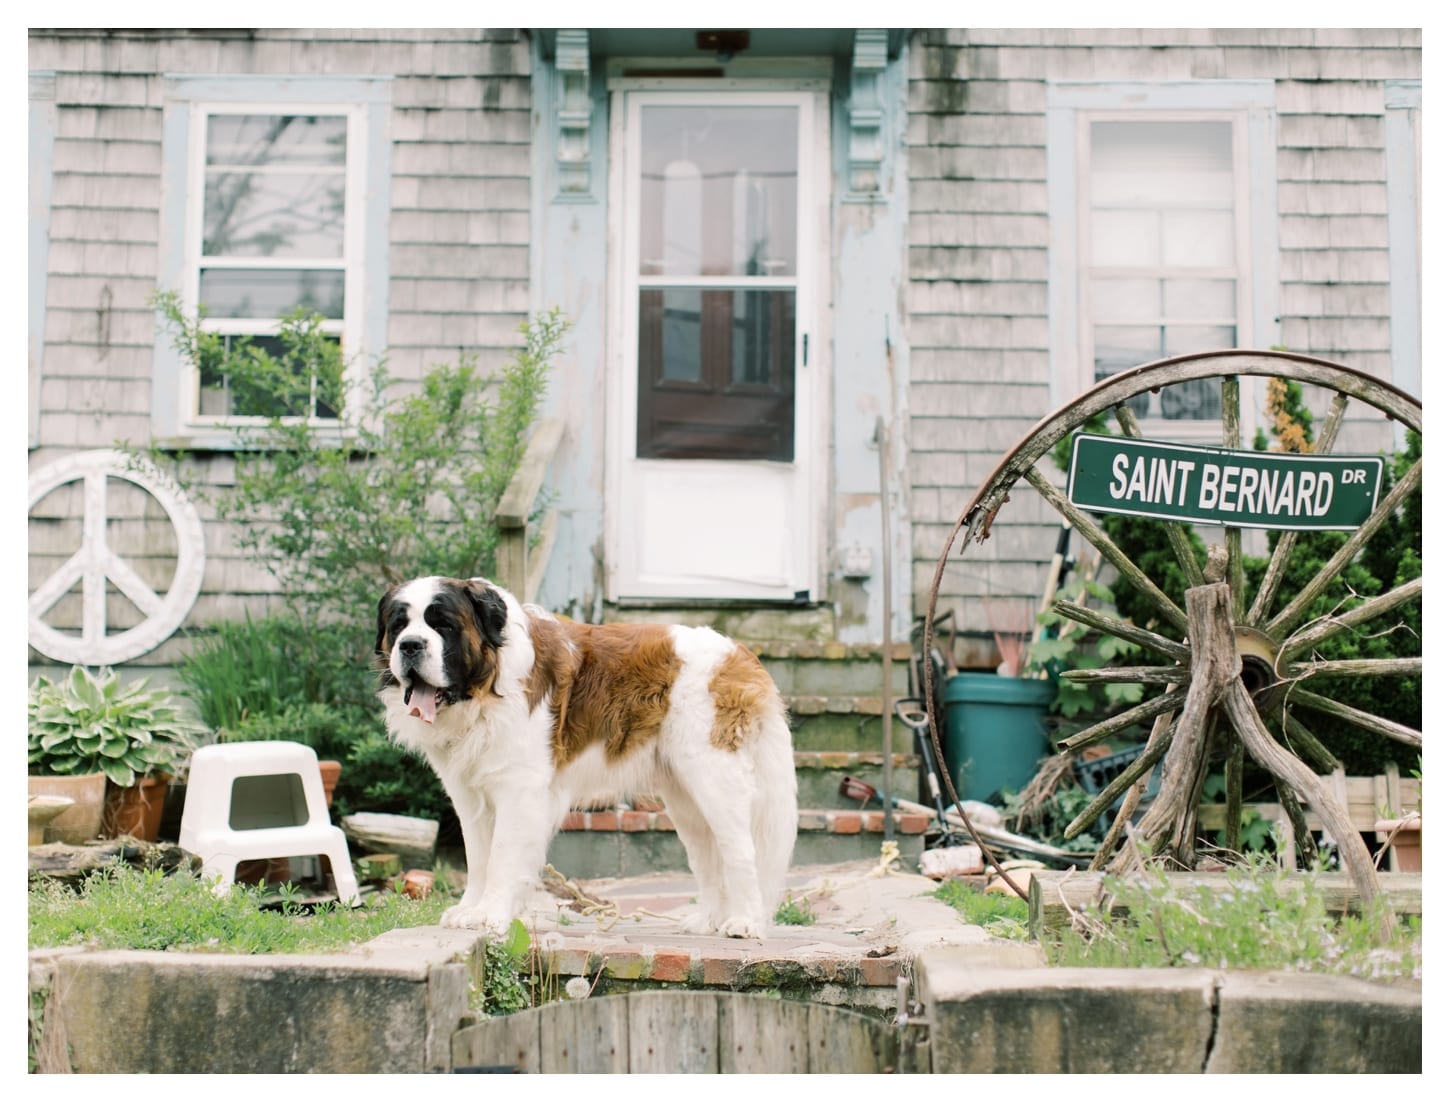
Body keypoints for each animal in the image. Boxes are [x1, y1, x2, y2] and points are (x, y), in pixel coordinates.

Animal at [374, 577, 800, 939]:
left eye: (443, 625)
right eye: (399, 626)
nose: (410, 645)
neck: (485, 689)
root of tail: (740, 653)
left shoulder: (518, 790)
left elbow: (501, 856)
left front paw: (491, 915)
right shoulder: (470, 794)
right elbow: (478, 857)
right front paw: (470, 910)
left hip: (714, 777)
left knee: (740, 850)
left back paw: (745, 922)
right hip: (686, 796)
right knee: (707, 854)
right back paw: (707, 921)